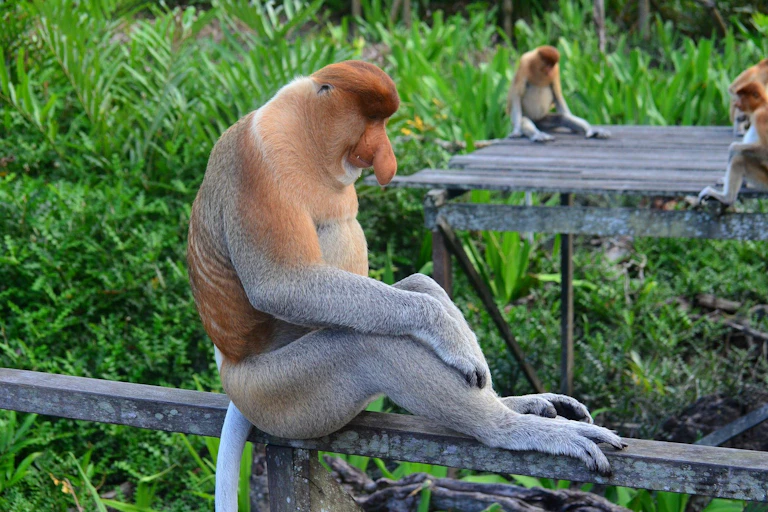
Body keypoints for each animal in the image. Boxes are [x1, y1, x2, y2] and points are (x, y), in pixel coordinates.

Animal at [187, 60, 624, 511]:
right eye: (371, 122)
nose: (385, 155)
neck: (303, 133)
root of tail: (231, 369)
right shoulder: (257, 162)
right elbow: (281, 285)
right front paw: (448, 333)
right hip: (279, 395)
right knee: (366, 345)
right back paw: (510, 427)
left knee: (415, 285)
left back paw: (517, 403)